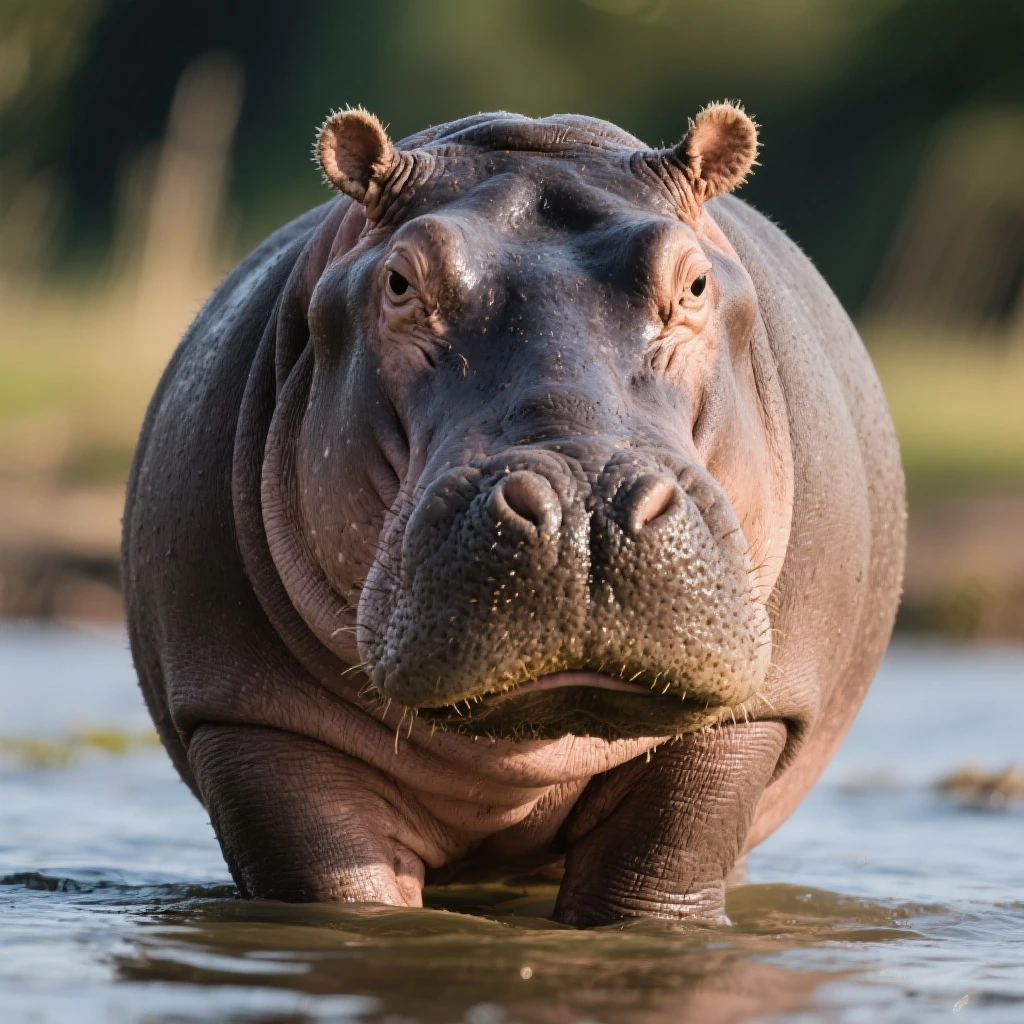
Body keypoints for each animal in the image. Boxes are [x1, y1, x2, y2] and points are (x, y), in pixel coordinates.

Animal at [122, 101, 905, 926]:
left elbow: (659, 877)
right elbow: (338, 889)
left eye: (694, 281)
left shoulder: (744, 726)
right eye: (398, 280)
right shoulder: (252, 722)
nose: (588, 505)